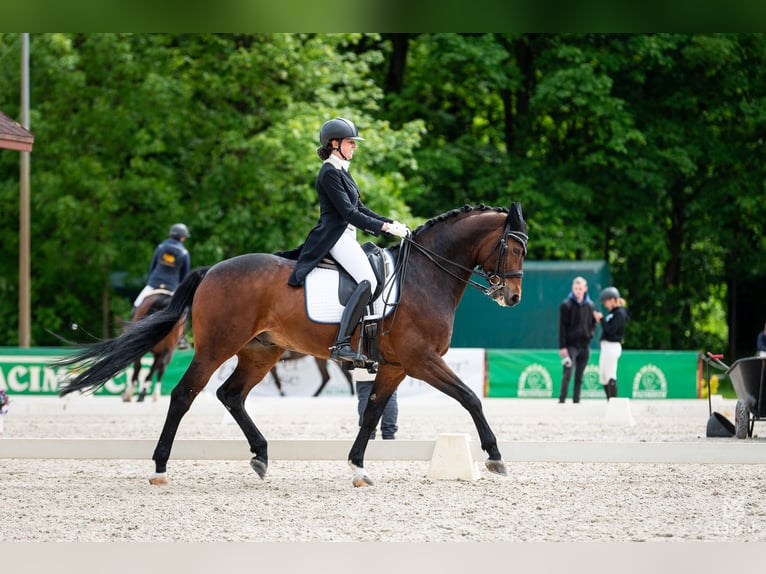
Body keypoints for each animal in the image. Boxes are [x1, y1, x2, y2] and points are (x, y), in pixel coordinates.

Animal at [58, 203, 528, 487]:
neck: (423, 277)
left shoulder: (396, 366)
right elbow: (470, 398)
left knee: (231, 395)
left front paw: (358, 467)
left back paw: (262, 456)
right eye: (513, 247)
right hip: (217, 347)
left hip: (261, 351)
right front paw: (494, 456)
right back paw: (159, 467)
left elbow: (372, 413)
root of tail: (211, 271)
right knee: (183, 394)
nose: (512, 297)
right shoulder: (421, 360)